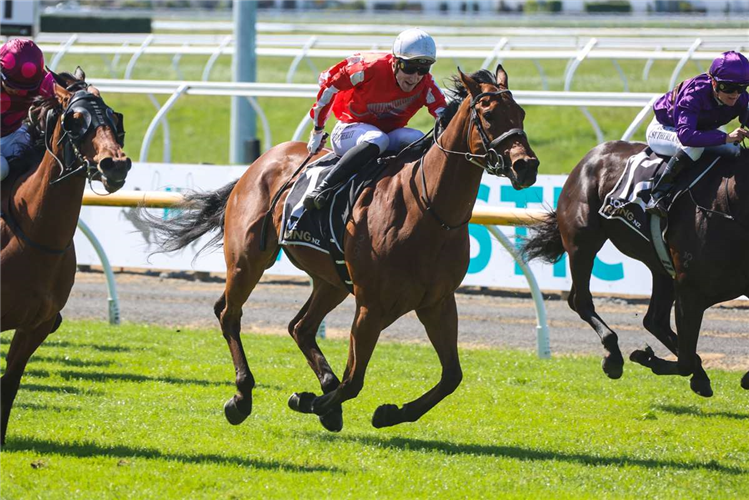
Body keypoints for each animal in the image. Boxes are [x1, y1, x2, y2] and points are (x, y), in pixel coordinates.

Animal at [146, 66, 536, 432]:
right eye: (488, 113)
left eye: (520, 112)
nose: (527, 166)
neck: (428, 210)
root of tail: (260, 162)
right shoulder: (371, 306)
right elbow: (354, 382)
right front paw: (311, 401)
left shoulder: (437, 302)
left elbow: (452, 376)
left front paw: (388, 413)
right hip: (247, 259)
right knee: (229, 313)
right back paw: (242, 397)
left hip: (331, 280)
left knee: (300, 327)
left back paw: (322, 385)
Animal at [520, 142, 748, 398]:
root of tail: (591, 155)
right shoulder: (690, 290)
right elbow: (685, 361)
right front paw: (646, 357)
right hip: (582, 242)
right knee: (581, 301)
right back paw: (614, 358)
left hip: (660, 267)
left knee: (654, 321)